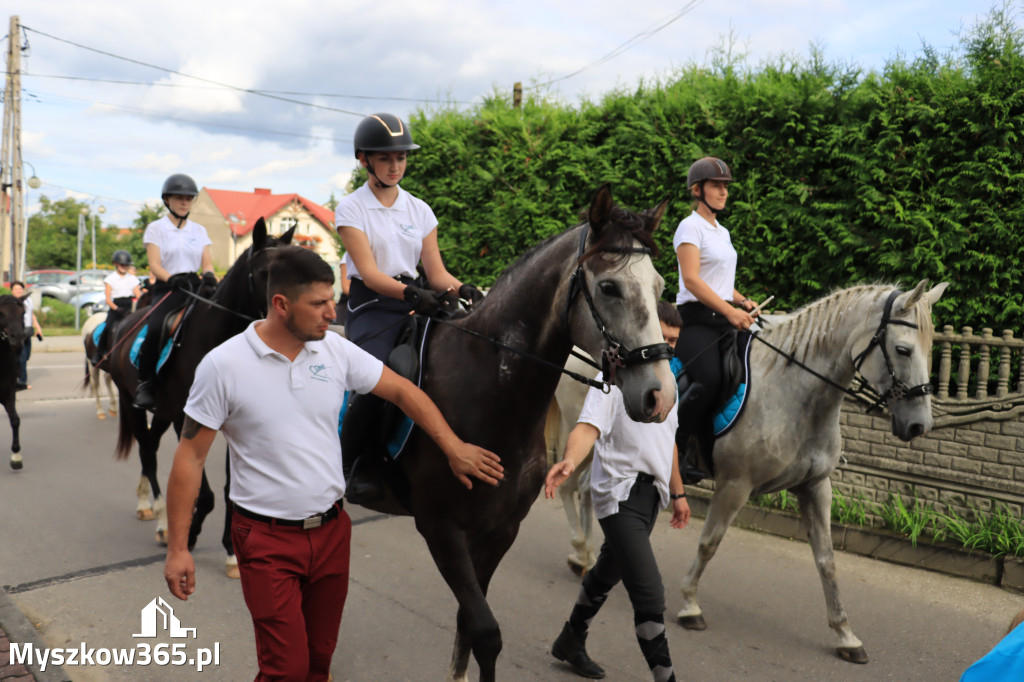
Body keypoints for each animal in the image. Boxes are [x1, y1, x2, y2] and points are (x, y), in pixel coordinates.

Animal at [104, 218, 292, 548]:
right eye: (265, 273)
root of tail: (125, 324)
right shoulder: (186, 419)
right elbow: (204, 493)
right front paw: (189, 534)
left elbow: (232, 491)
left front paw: (231, 549)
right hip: (132, 403)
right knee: (147, 453)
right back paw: (159, 518)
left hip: (162, 412)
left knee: (150, 448)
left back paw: (148, 506)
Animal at [356, 183, 675, 675]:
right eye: (609, 286)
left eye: (659, 286)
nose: (661, 395)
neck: (488, 391)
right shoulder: (440, 528)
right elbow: (486, 633)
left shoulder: (499, 530)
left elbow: (468, 626)